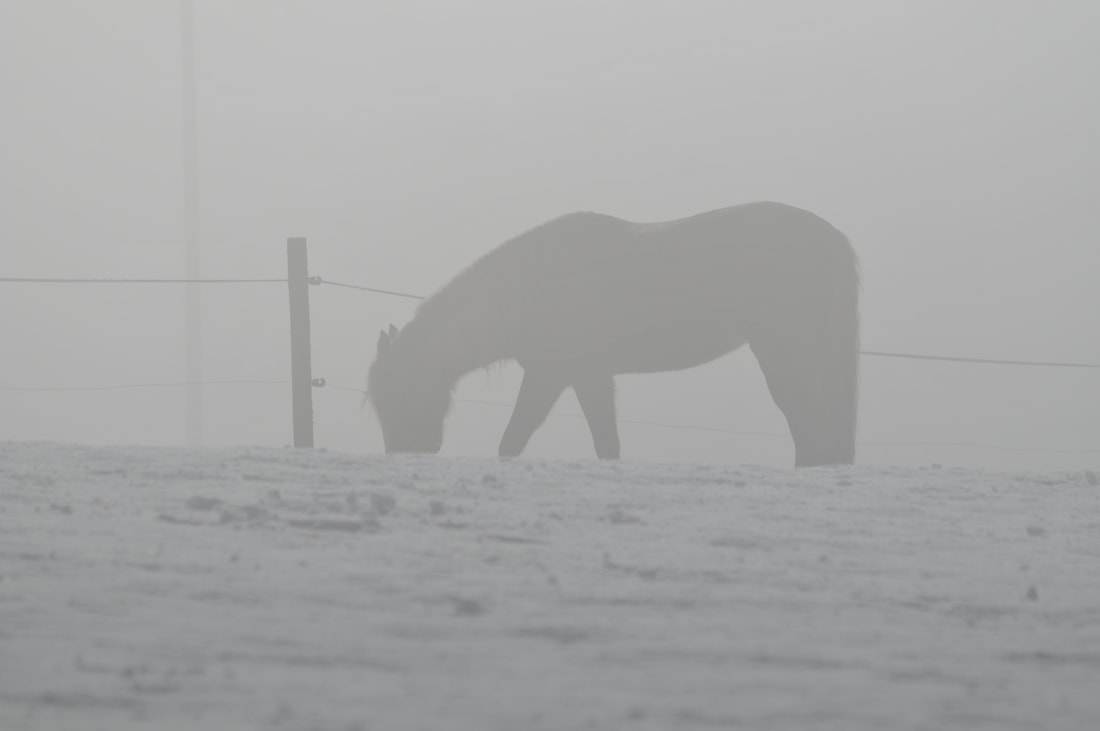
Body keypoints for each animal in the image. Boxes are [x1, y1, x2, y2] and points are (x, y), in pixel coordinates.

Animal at [368, 201, 860, 467]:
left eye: (394, 392)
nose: (405, 451)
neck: (532, 285)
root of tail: (831, 239)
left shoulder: (553, 375)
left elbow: (515, 438)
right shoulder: (584, 377)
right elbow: (605, 442)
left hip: (782, 347)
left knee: (806, 416)